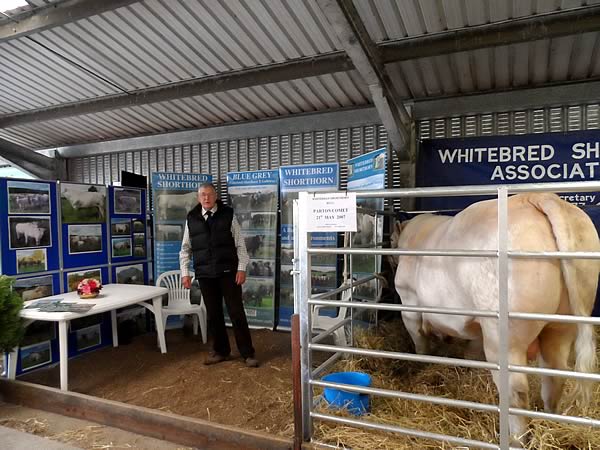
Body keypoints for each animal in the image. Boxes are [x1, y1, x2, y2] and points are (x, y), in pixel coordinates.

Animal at [392, 192, 600, 442]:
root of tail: (537, 196)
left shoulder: (409, 303)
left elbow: (419, 340)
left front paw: (422, 361)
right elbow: (470, 349)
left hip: (505, 335)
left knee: (516, 391)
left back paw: (516, 439)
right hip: (562, 323)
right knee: (554, 376)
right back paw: (550, 420)